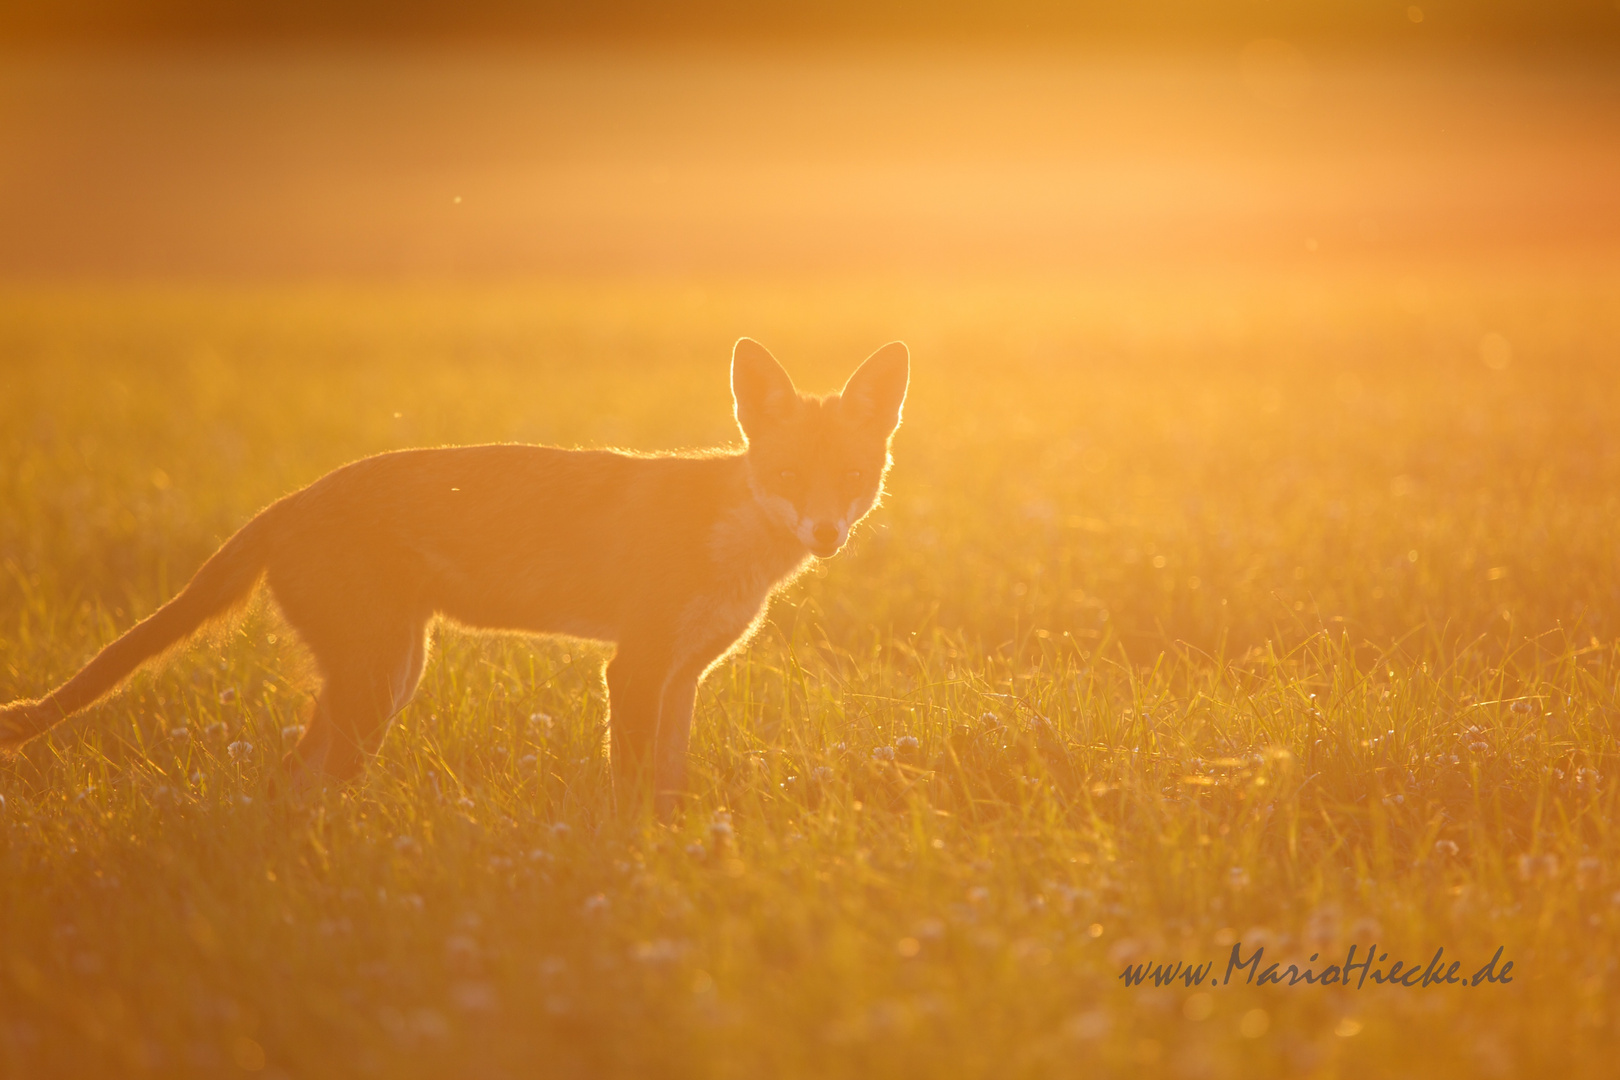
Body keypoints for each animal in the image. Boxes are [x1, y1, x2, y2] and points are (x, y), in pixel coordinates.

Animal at [0, 338, 907, 809]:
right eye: (787, 476)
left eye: (850, 479)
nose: (826, 532)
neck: (735, 539)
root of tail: (291, 499)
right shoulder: (635, 667)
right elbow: (628, 790)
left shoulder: (683, 674)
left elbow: (670, 785)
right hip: (377, 682)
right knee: (292, 779)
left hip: (388, 675)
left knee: (297, 779)